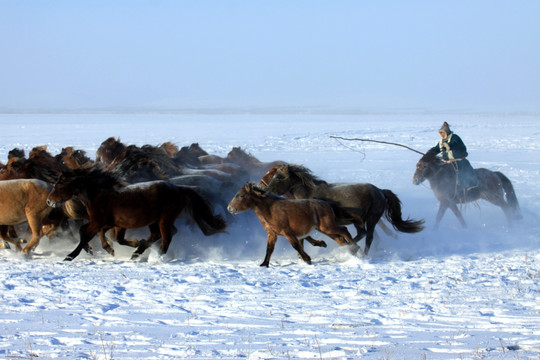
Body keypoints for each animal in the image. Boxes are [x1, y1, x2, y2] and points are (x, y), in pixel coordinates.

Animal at [43, 169, 226, 262]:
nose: (49, 201)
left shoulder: (98, 222)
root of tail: (179, 189)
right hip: (155, 220)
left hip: (164, 218)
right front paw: (109, 248)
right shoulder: (111, 223)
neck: (98, 195)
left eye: (59, 185)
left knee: (166, 236)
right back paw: (138, 251)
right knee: (160, 234)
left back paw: (157, 256)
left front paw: (70, 255)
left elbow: (85, 235)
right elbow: (105, 236)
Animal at [227, 183, 356, 268]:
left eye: (241, 195)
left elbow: (296, 246)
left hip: (328, 227)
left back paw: (355, 248)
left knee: (344, 230)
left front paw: (307, 259)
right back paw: (351, 251)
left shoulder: (288, 232)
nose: (229, 208)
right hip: (325, 230)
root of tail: (328, 205)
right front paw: (264, 264)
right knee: (340, 239)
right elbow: (269, 249)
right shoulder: (272, 233)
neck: (270, 210)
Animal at [264, 165, 424, 255]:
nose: (265, 191)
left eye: (279, 177)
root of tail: (381, 191)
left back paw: (363, 253)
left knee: (369, 237)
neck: (309, 194)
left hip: (372, 218)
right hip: (359, 220)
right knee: (361, 233)